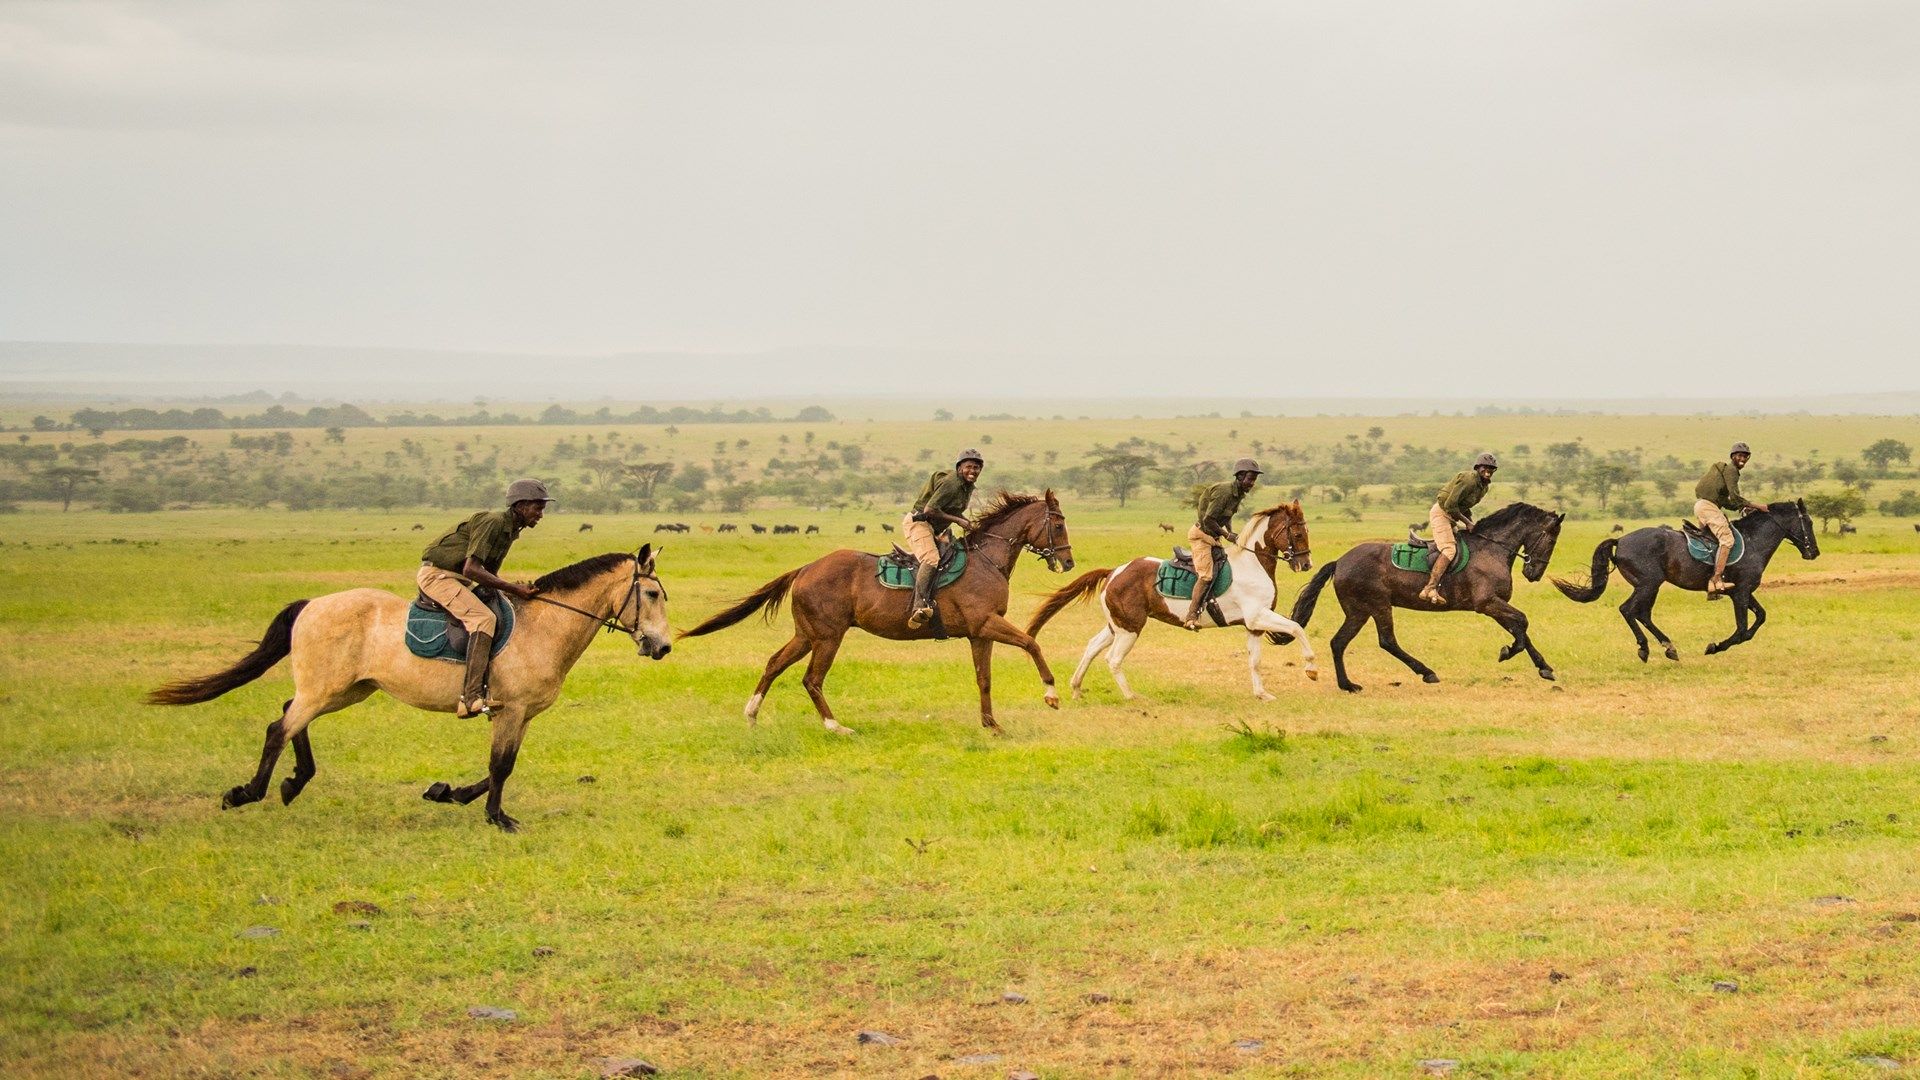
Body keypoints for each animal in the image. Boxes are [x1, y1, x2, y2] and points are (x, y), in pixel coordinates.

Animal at [146, 547, 673, 831]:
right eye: (651, 594)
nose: (663, 646)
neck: (544, 624)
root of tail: (312, 604)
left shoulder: (517, 714)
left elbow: (497, 769)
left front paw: (446, 793)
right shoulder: (511, 711)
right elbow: (500, 767)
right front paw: (498, 818)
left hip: (346, 690)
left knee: (290, 714)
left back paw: (295, 782)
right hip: (328, 689)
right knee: (280, 726)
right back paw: (246, 793)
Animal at [680, 492, 1075, 734]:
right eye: (1058, 524)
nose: (1069, 562)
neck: (987, 559)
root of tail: (805, 568)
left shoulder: (979, 633)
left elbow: (984, 679)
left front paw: (991, 724)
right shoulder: (988, 623)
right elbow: (1031, 643)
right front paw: (1051, 694)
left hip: (806, 635)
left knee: (775, 663)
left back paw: (751, 714)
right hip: (828, 637)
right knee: (812, 679)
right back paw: (836, 727)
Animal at [1026, 501, 1319, 701]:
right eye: (1298, 533)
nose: (1306, 564)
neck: (1253, 563)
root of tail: (1114, 572)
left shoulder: (1253, 625)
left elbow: (1255, 661)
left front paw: (1262, 694)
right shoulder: (1258, 616)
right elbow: (1297, 628)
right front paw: (1311, 669)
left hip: (1117, 625)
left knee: (1092, 647)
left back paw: (1076, 688)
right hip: (1131, 627)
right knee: (1113, 658)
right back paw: (1132, 697)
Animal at [1290, 503, 1566, 692]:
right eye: (1551, 538)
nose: (1534, 574)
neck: (1492, 549)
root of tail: (1340, 562)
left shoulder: (1496, 605)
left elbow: (1520, 628)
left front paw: (1543, 667)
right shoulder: (1487, 603)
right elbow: (1522, 623)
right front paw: (1509, 653)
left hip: (1358, 611)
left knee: (1339, 642)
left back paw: (1348, 685)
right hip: (1376, 605)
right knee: (1386, 641)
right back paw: (1427, 672)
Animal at [1551, 500, 1818, 659]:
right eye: (1808, 521)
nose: (1814, 552)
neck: (1753, 540)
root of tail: (1621, 540)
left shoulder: (1741, 592)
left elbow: (1760, 617)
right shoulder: (1741, 592)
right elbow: (1742, 629)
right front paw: (1715, 647)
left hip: (1650, 586)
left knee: (1642, 614)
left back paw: (1669, 647)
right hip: (1648, 584)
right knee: (1628, 610)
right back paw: (1645, 648)